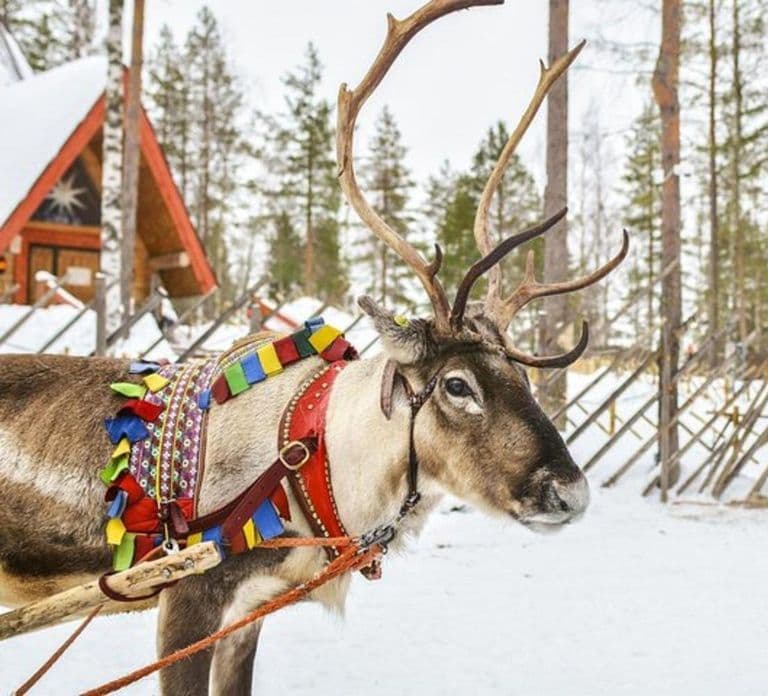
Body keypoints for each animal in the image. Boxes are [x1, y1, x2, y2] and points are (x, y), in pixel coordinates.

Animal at [0, 1, 628, 694]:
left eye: (523, 377)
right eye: (457, 384)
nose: (571, 494)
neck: (315, 460)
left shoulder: (249, 612)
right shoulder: (187, 600)